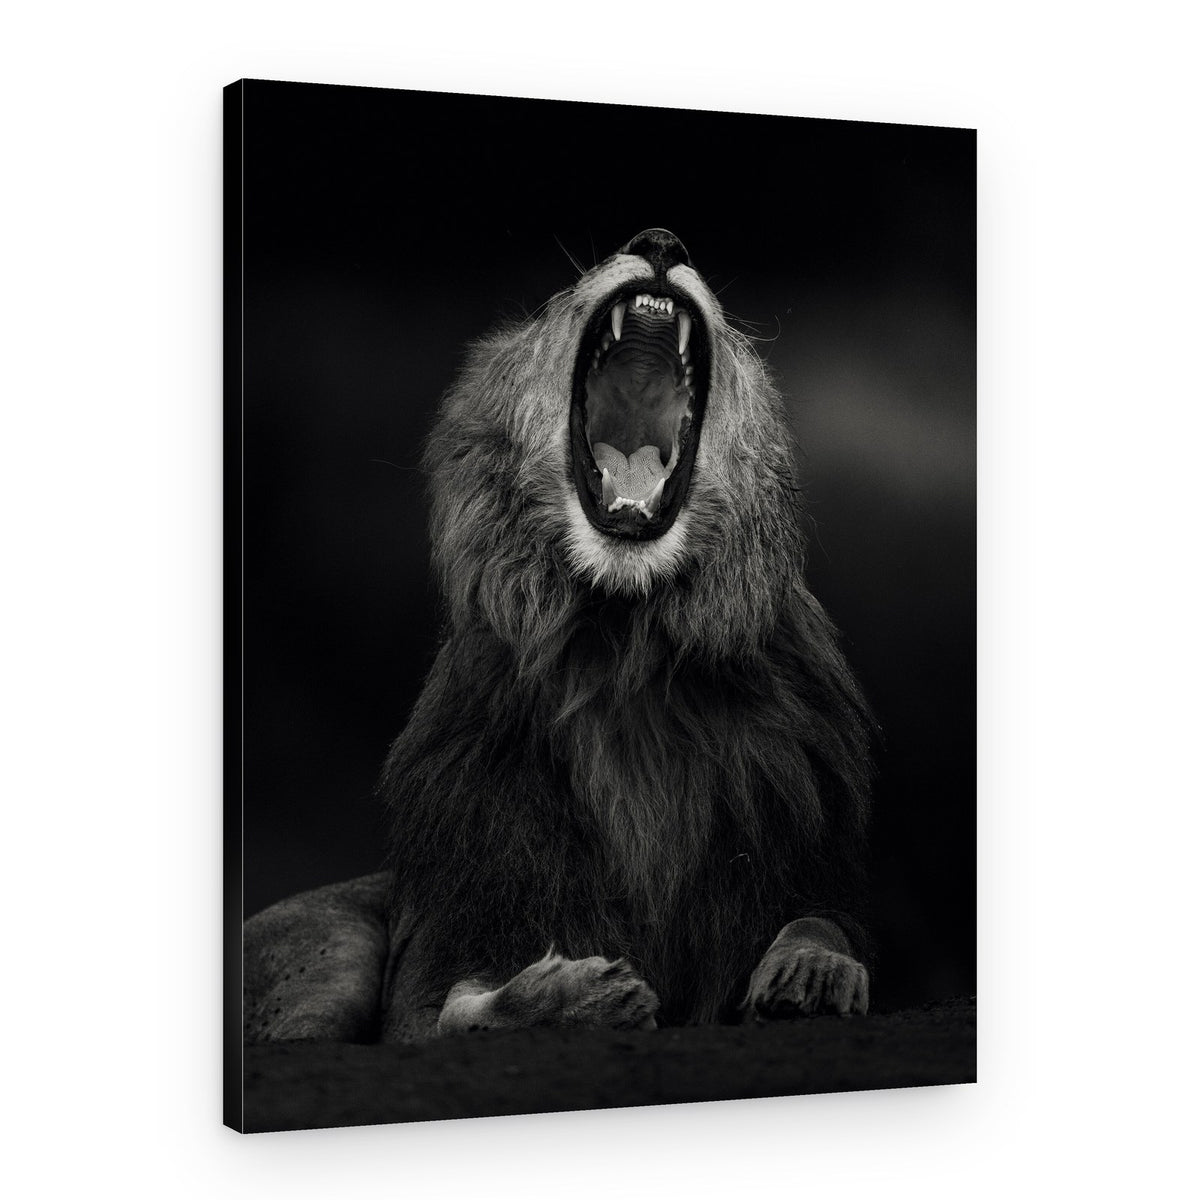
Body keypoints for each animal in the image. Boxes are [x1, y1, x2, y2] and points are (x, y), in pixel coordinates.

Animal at [242, 229, 874, 1046]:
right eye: (558, 298)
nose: (660, 240)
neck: (623, 642)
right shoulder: (438, 953)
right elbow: (454, 1014)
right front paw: (581, 995)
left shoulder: (798, 869)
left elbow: (821, 922)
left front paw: (812, 972)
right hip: (339, 949)